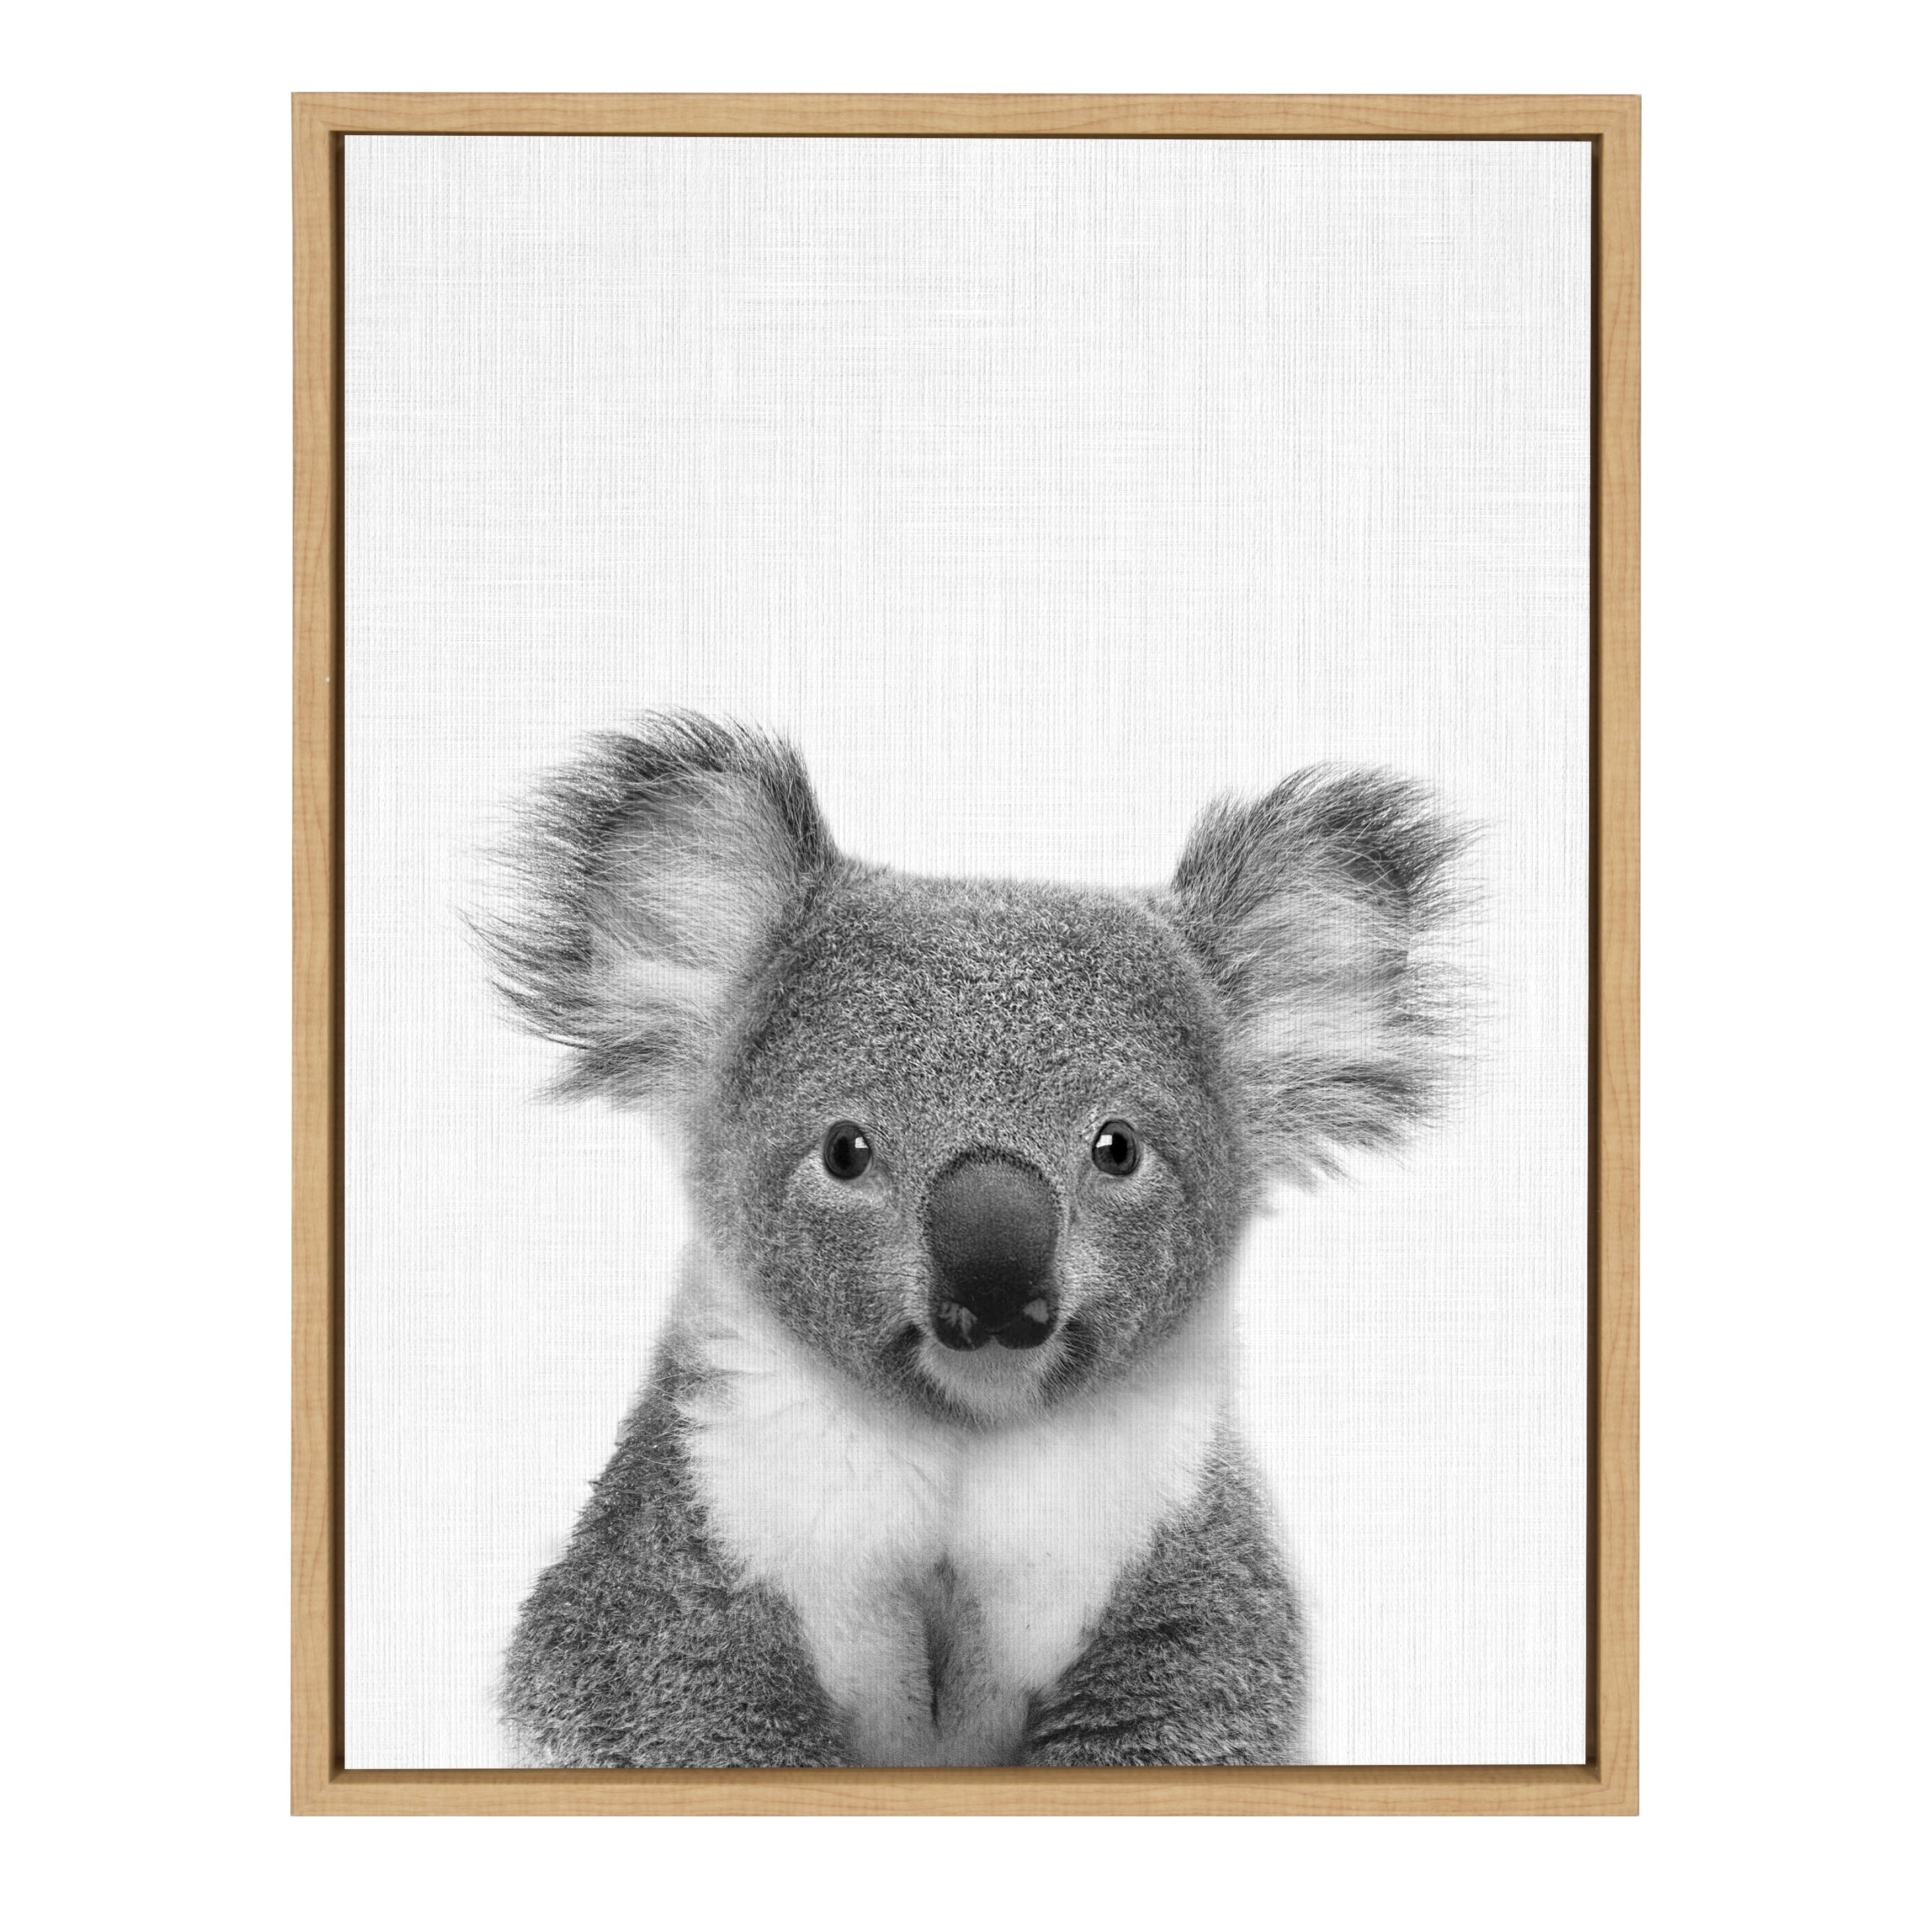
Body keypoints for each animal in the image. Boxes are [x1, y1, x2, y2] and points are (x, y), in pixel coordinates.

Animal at [478, 711, 1463, 1768]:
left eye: (1118, 1149)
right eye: (846, 1151)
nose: (995, 1288)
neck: (966, 1437)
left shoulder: (1170, 1561)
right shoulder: (693, 1543)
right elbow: (677, 1697)